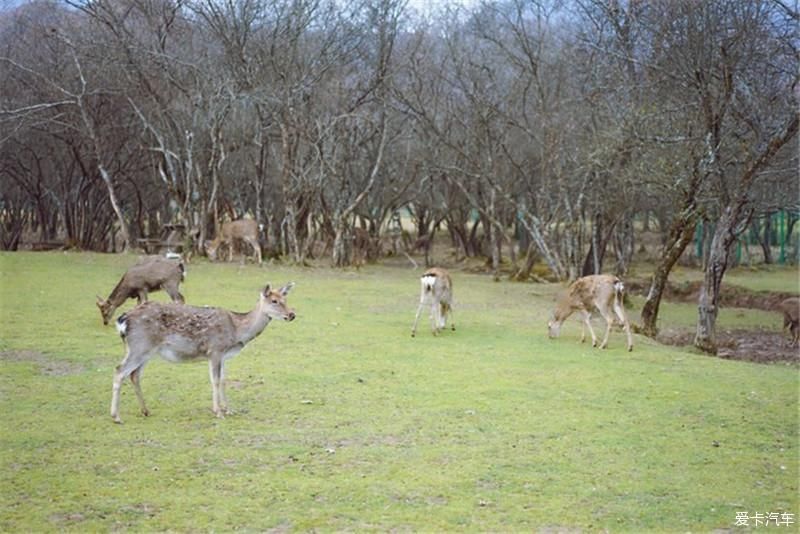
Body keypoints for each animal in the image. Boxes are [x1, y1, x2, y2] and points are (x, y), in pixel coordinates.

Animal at [111, 282, 296, 426]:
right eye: (274, 301)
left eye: (285, 299)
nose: (292, 314)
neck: (237, 331)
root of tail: (122, 321)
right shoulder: (215, 350)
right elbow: (215, 380)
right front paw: (218, 412)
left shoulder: (224, 356)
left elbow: (224, 380)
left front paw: (229, 410)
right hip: (139, 346)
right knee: (119, 371)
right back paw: (116, 417)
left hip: (146, 350)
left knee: (134, 375)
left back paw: (145, 410)